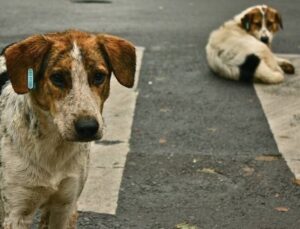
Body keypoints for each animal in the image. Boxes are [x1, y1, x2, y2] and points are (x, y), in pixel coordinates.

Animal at [0, 29, 135, 228]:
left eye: (98, 76)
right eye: (57, 78)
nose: (88, 127)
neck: (54, 146)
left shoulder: (65, 206)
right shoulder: (17, 213)